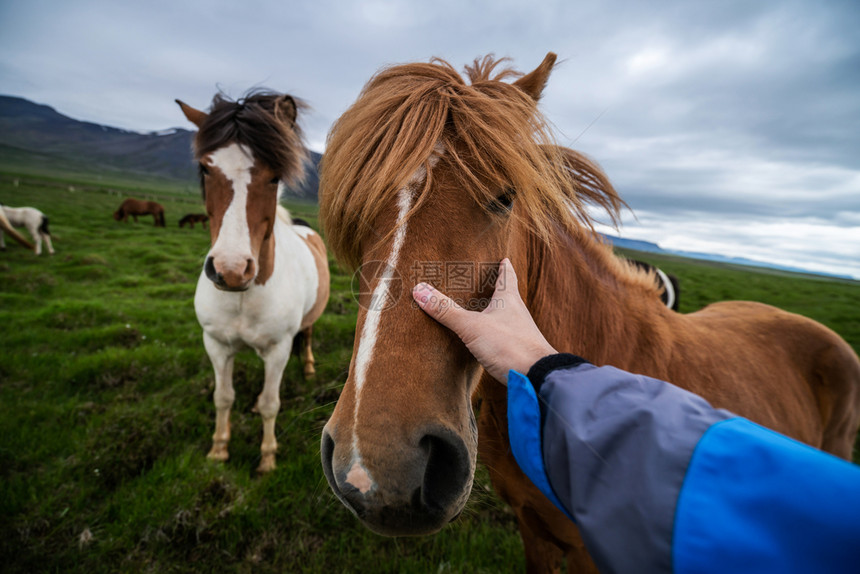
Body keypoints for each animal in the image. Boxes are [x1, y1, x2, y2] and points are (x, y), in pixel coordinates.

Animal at [177, 92, 330, 474]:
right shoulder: (216, 344)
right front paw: (219, 449)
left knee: (307, 335)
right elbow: (223, 397)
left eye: (275, 177)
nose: (231, 269)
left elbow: (271, 403)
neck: (243, 297)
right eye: (205, 168)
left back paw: (308, 367)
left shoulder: (278, 350)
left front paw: (267, 458)